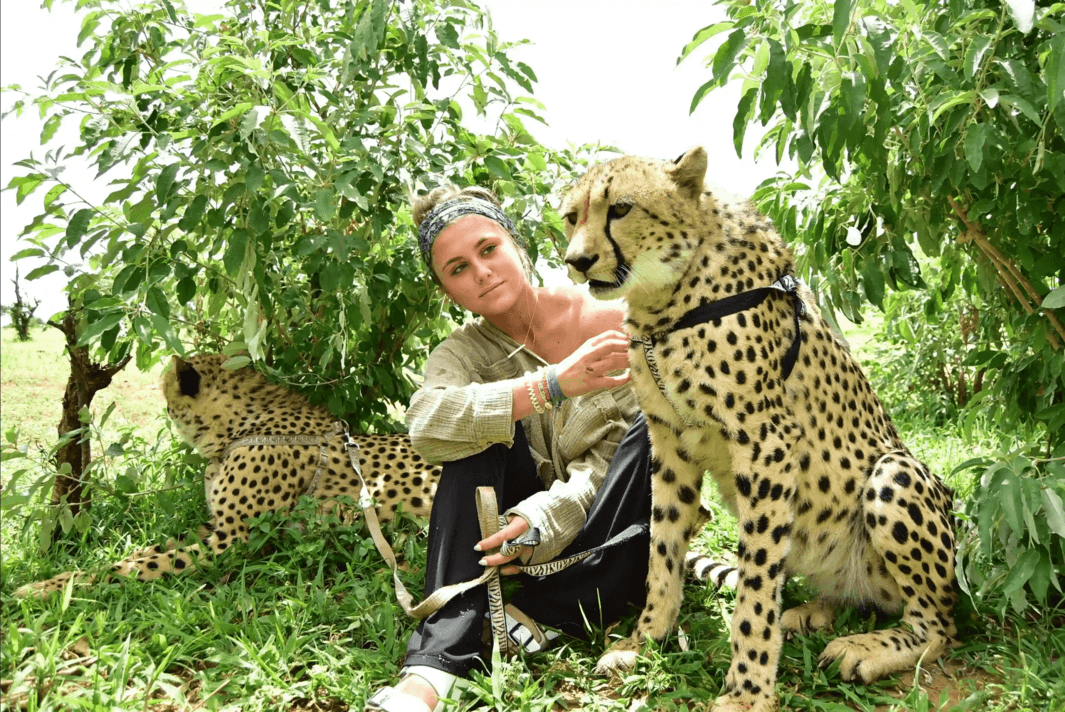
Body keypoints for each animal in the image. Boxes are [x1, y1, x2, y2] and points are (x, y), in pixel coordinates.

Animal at [17, 353, 440, 597]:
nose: (162, 406)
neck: (238, 425)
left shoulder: (236, 539)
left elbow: (141, 566)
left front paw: (48, 587)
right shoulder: (215, 525)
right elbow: (149, 551)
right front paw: (58, 578)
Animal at [561, 147, 958, 712]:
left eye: (620, 208)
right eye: (571, 217)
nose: (575, 261)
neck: (667, 297)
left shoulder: (766, 442)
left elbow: (756, 579)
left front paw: (747, 691)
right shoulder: (669, 442)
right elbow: (662, 549)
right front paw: (644, 641)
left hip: (894, 474)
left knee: (939, 624)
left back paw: (866, 648)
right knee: (861, 599)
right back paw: (813, 613)